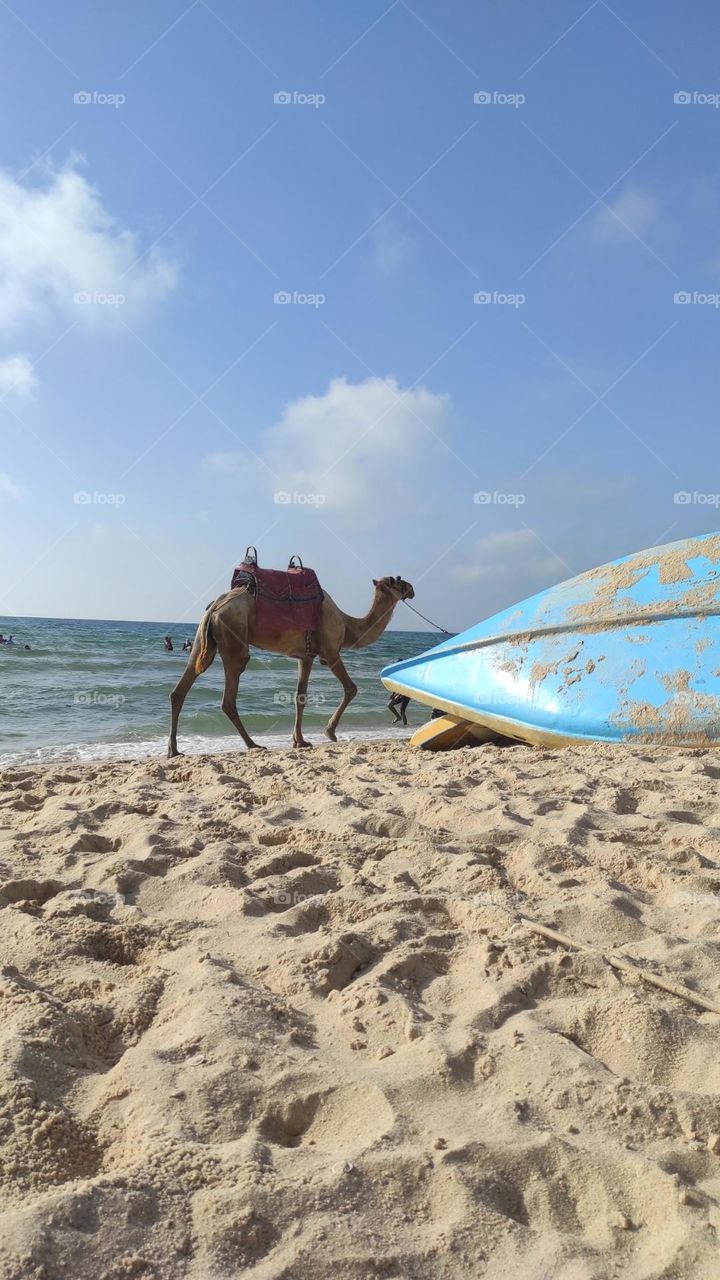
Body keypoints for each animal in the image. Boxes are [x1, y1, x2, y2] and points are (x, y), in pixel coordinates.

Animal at [167, 574, 415, 757]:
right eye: (397, 580)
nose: (411, 589)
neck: (347, 626)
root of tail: (216, 606)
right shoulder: (330, 652)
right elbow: (351, 688)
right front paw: (329, 732)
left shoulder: (305, 657)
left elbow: (300, 696)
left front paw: (300, 741)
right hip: (233, 636)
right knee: (229, 697)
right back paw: (253, 744)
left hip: (203, 638)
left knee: (181, 688)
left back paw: (174, 750)